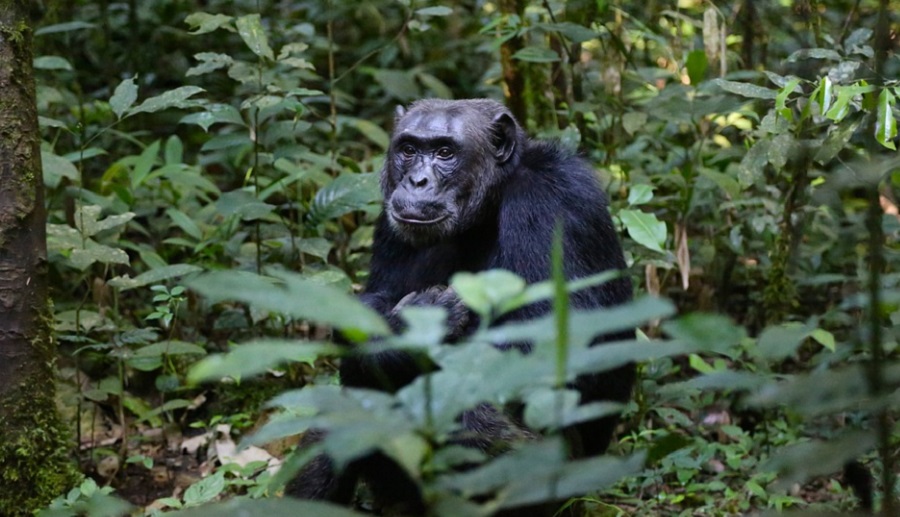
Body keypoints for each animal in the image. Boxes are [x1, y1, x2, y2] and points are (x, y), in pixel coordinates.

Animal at [288, 100, 632, 512]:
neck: (488, 206)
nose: (417, 181)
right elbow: (373, 304)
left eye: (444, 152)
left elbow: (555, 343)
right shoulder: (389, 221)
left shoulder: (554, 201)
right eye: (408, 149)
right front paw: (401, 332)